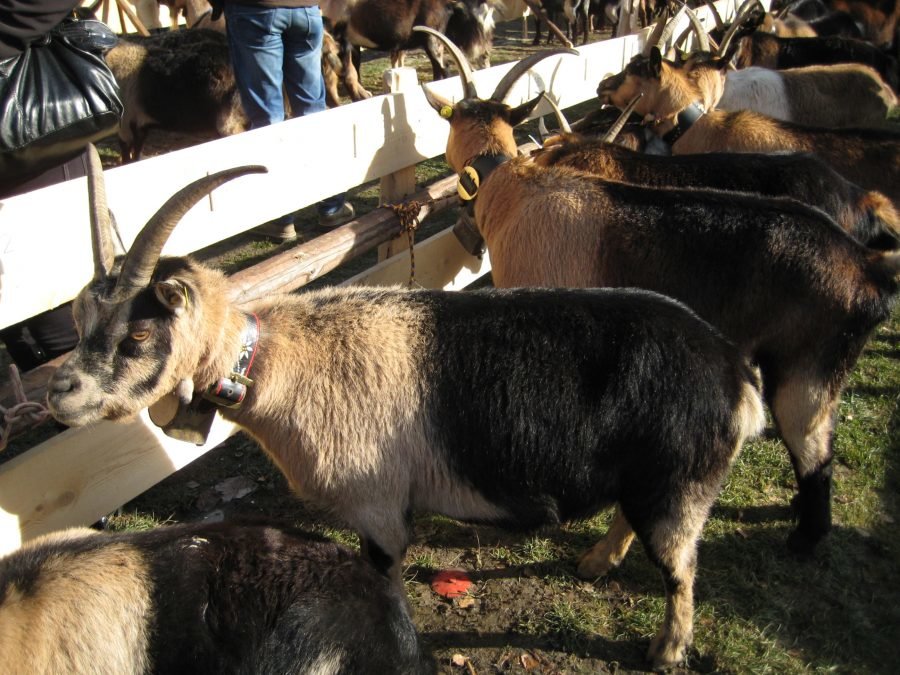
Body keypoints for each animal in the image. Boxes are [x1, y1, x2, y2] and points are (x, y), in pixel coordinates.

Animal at [47, 144, 768, 672]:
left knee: (680, 566)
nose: (60, 394)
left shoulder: (379, 508)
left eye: (139, 335)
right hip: (652, 478)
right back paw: (596, 563)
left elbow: (386, 583)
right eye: (80, 320)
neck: (282, 364)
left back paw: (665, 649)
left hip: (681, 485)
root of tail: (735, 372)